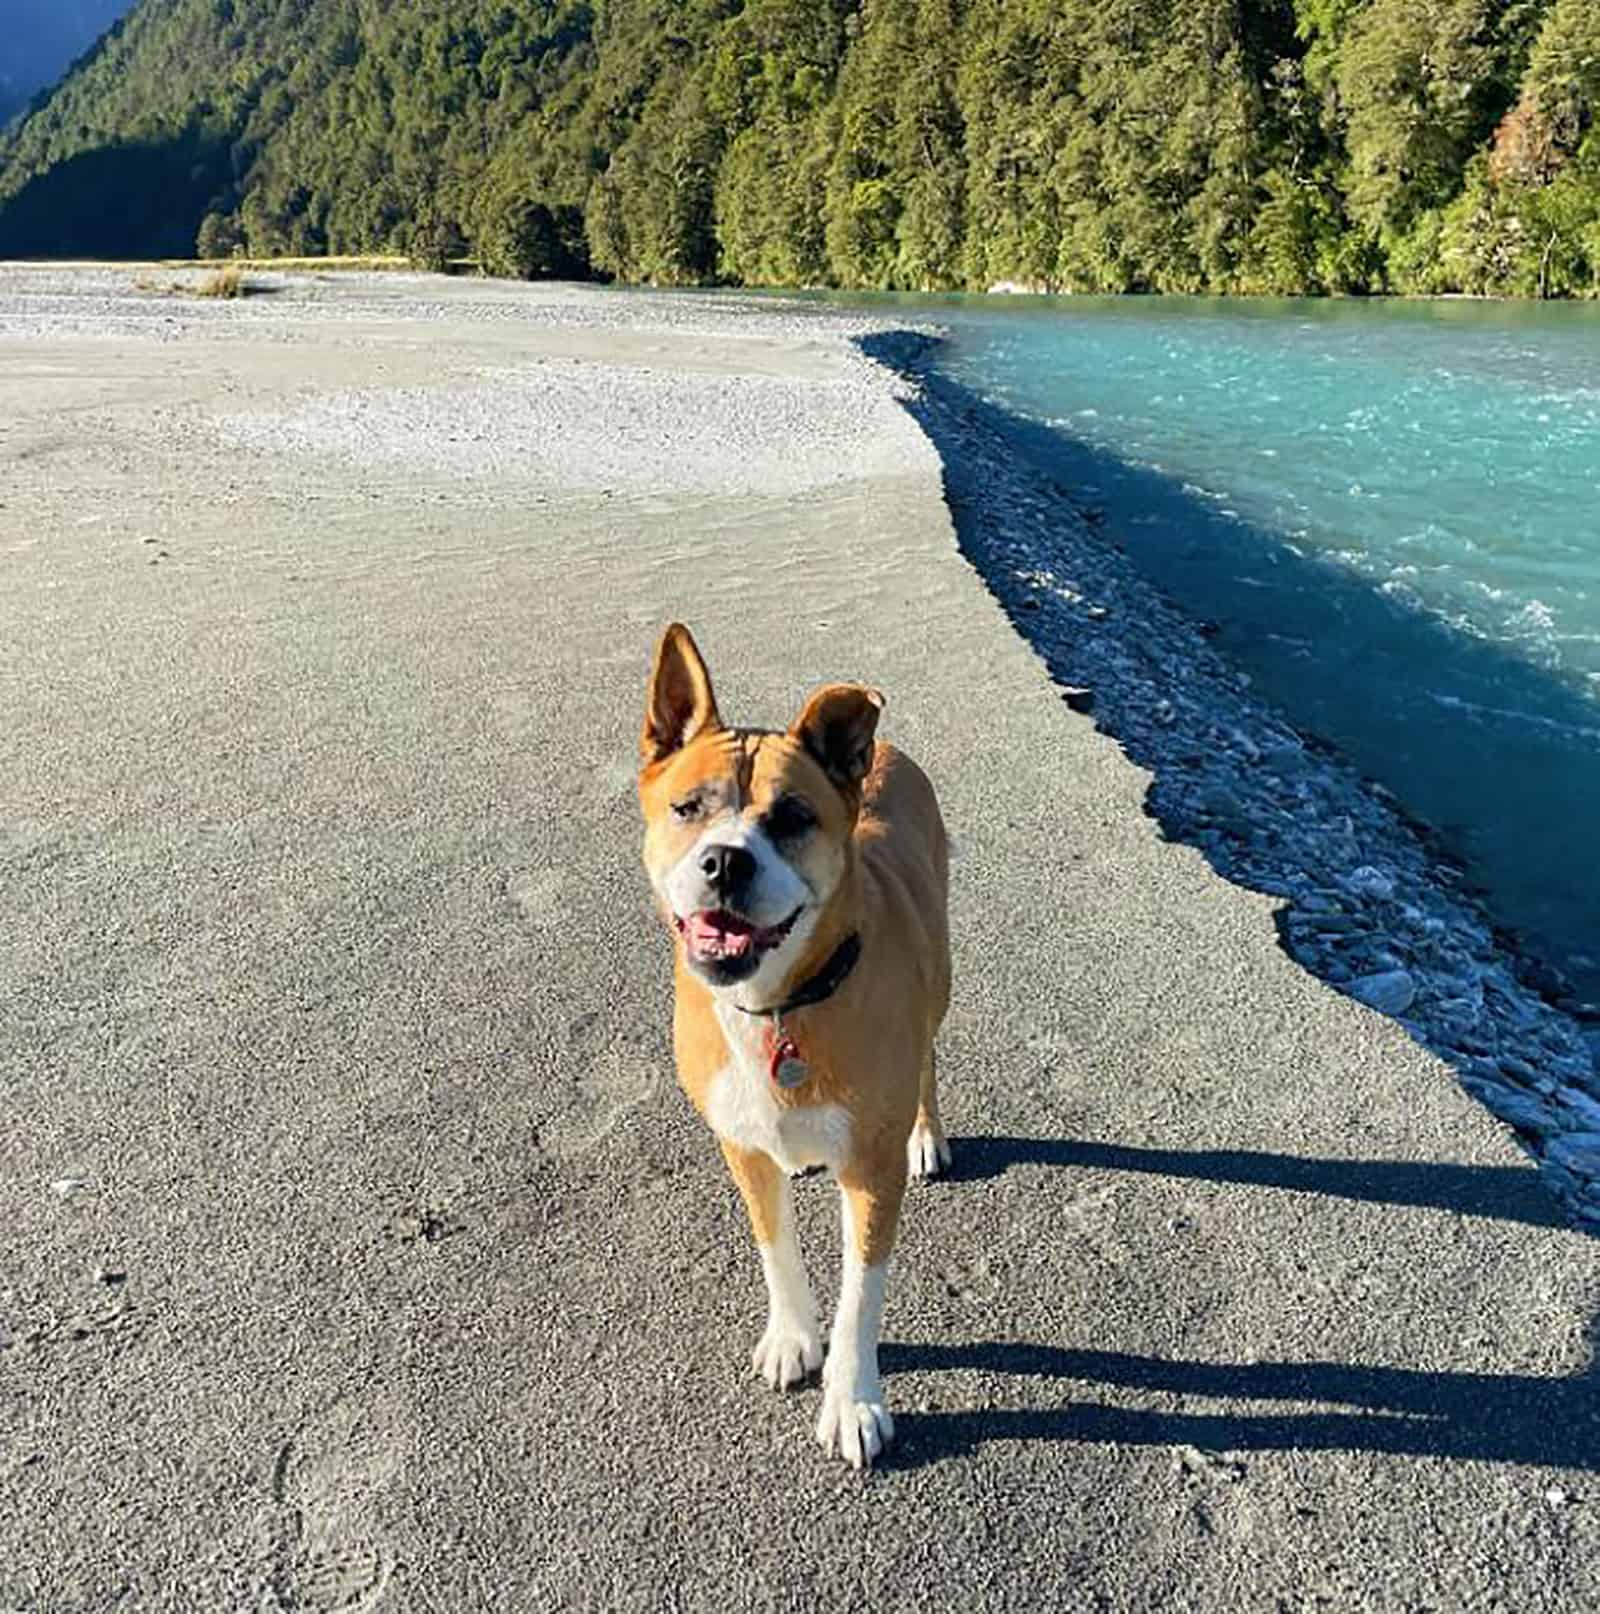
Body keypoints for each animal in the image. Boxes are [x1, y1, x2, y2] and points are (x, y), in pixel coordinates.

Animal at [639, 623, 949, 1471]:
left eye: (793, 818)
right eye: (687, 807)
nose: (724, 861)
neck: (777, 1008)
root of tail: (885, 751)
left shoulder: (871, 1173)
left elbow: (861, 1296)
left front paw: (853, 1401)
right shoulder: (741, 1145)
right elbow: (775, 1246)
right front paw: (791, 1336)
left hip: (939, 983)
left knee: (930, 1059)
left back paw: (927, 1133)